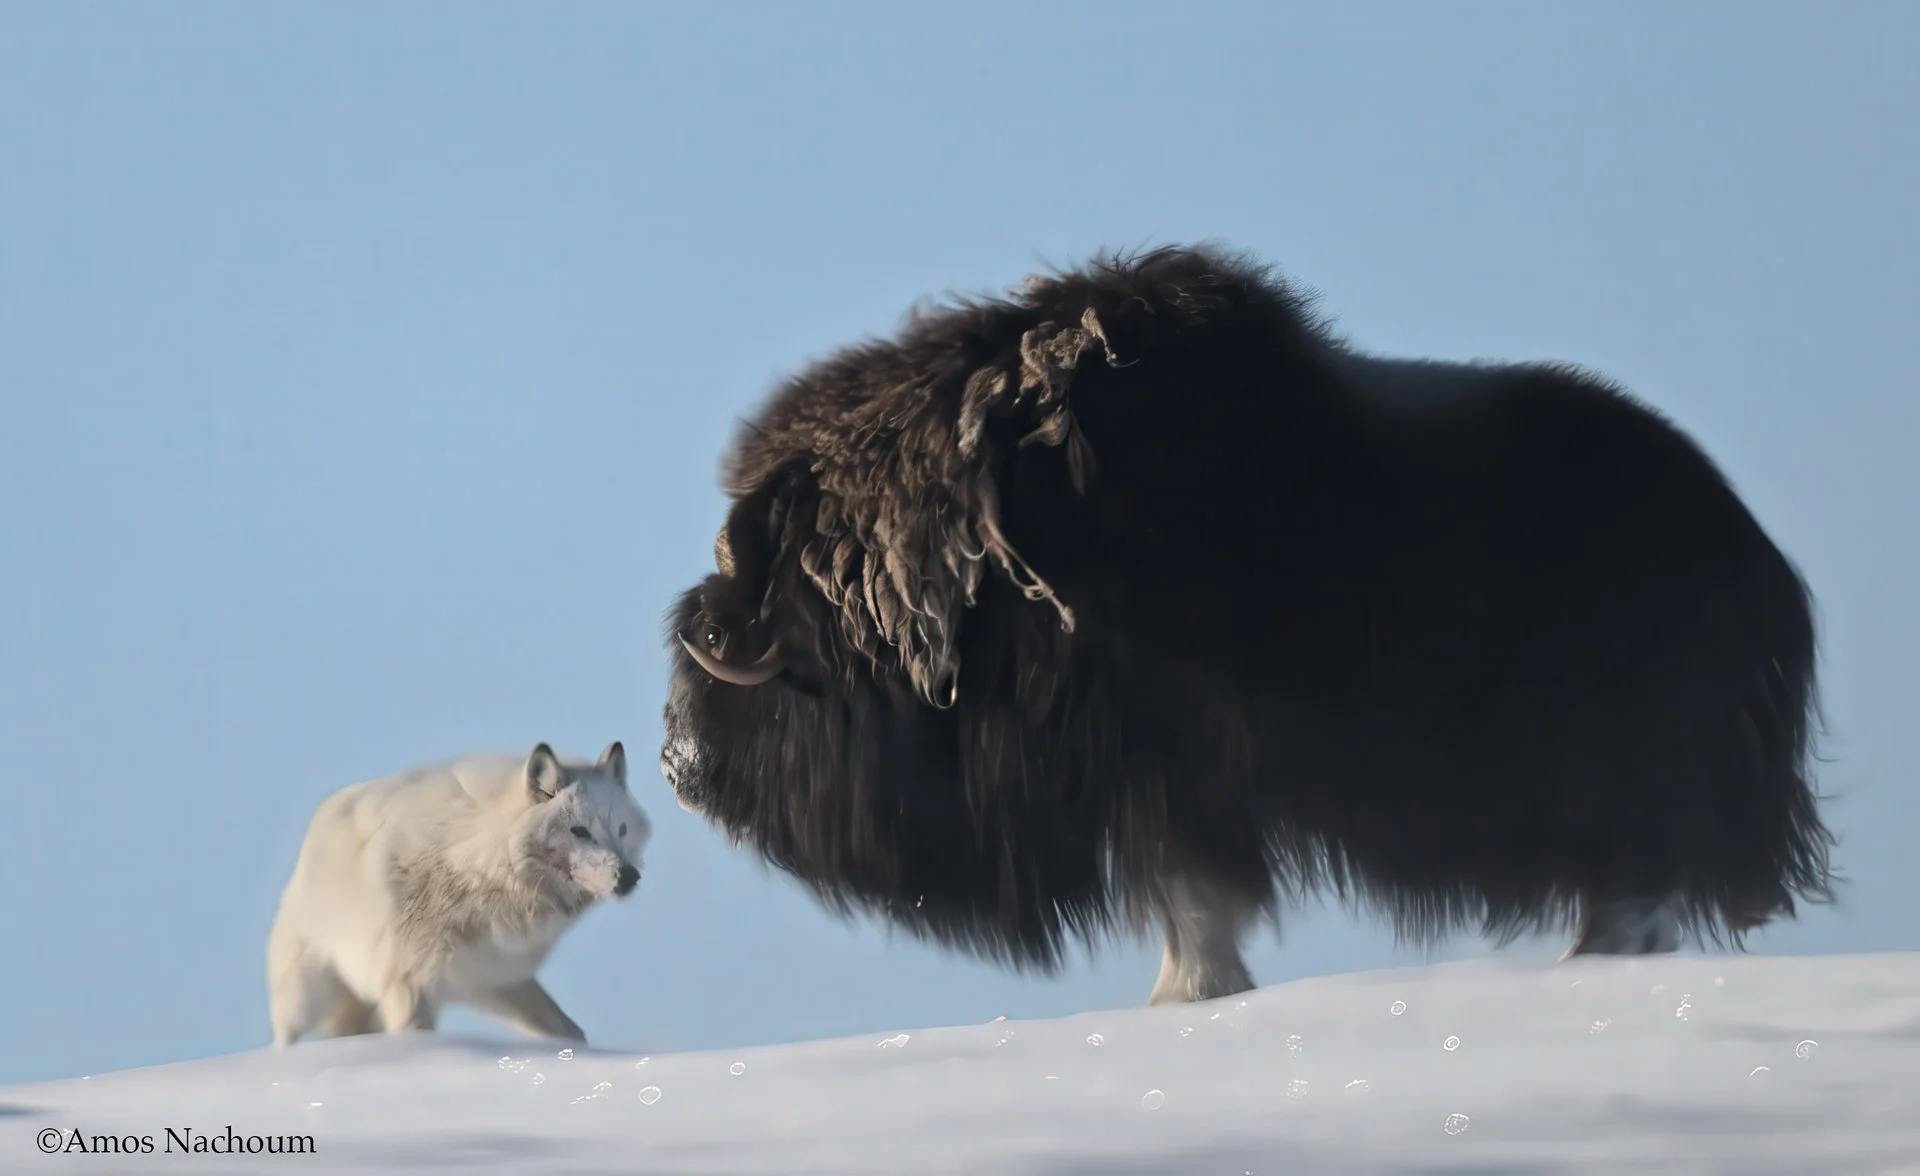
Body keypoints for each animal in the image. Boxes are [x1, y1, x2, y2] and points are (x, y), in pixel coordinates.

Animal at [267, 741, 650, 1046]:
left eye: (621, 829)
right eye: (579, 831)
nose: (629, 877)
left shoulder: (496, 976)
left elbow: (573, 1034)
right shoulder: (408, 984)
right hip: (305, 996)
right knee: (283, 1039)